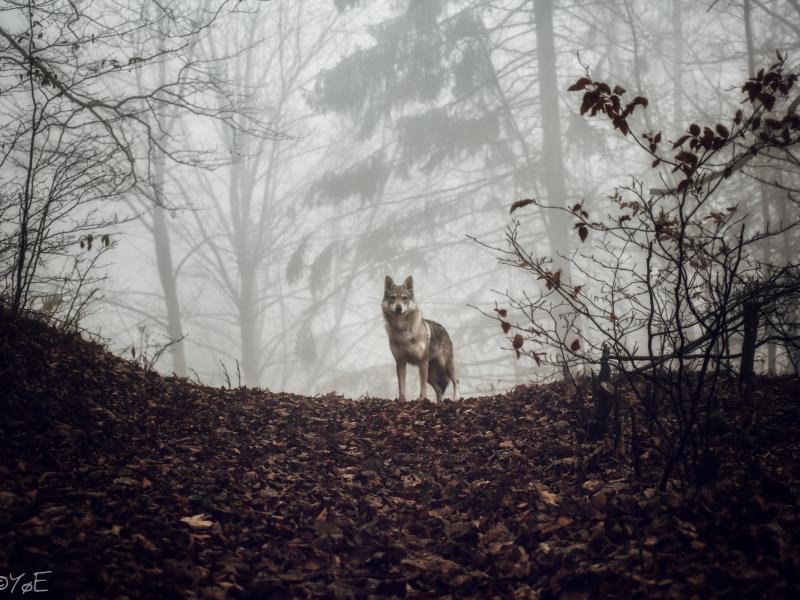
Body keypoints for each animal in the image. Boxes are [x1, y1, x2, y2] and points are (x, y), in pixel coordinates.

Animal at [382, 276, 460, 404]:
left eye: (404, 298)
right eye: (393, 297)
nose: (398, 308)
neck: (403, 330)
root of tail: (444, 329)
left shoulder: (422, 362)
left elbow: (422, 387)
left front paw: (422, 400)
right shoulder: (400, 362)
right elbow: (401, 386)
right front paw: (402, 401)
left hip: (443, 366)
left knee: (456, 380)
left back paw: (456, 398)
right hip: (430, 374)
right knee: (439, 389)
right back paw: (439, 403)